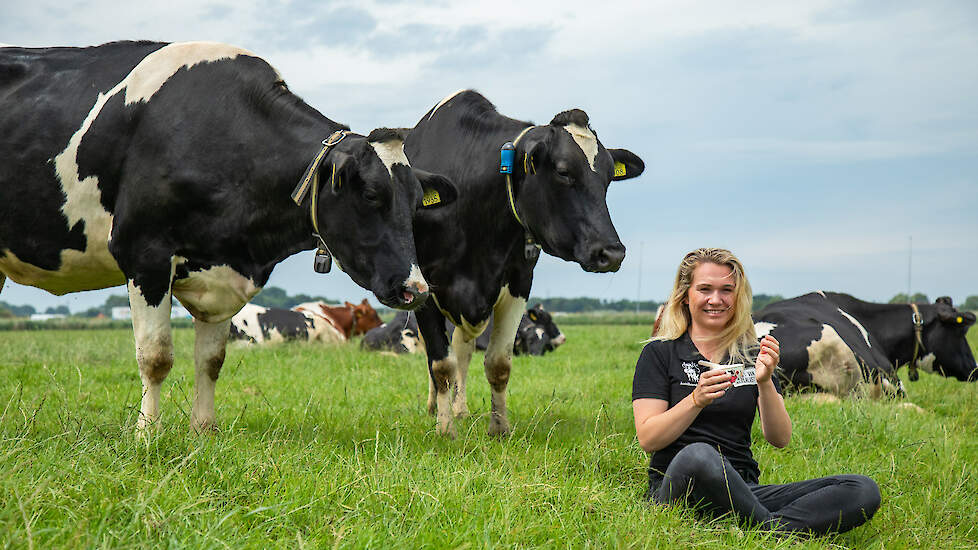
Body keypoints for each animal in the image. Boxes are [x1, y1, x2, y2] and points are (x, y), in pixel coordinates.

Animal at [0, 41, 456, 434]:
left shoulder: (223, 274)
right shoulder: (143, 253)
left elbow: (211, 360)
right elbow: (156, 356)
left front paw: (204, 430)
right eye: (371, 194)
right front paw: (148, 434)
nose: (416, 288)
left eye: (416, 202)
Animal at [402, 90, 640, 440]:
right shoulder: (425, 287)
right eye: (563, 172)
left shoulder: (518, 282)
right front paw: (445, 431)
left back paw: (460, 409)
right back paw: (438, 409)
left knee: (463, 349)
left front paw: (499, 428)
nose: (612, 253)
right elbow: (440, 365)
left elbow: (498, 364)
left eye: (609, 178)